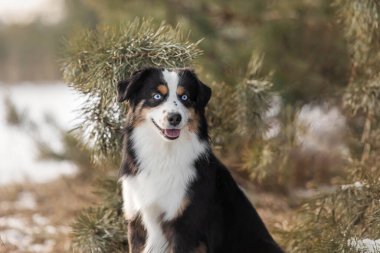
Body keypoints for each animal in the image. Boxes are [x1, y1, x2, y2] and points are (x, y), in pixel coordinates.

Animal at [117, 66, 284, 252]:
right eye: (157, 96)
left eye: (185, 97)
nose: (174, 118)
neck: (164, 154)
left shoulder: (186, 227)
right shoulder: (137, 221)